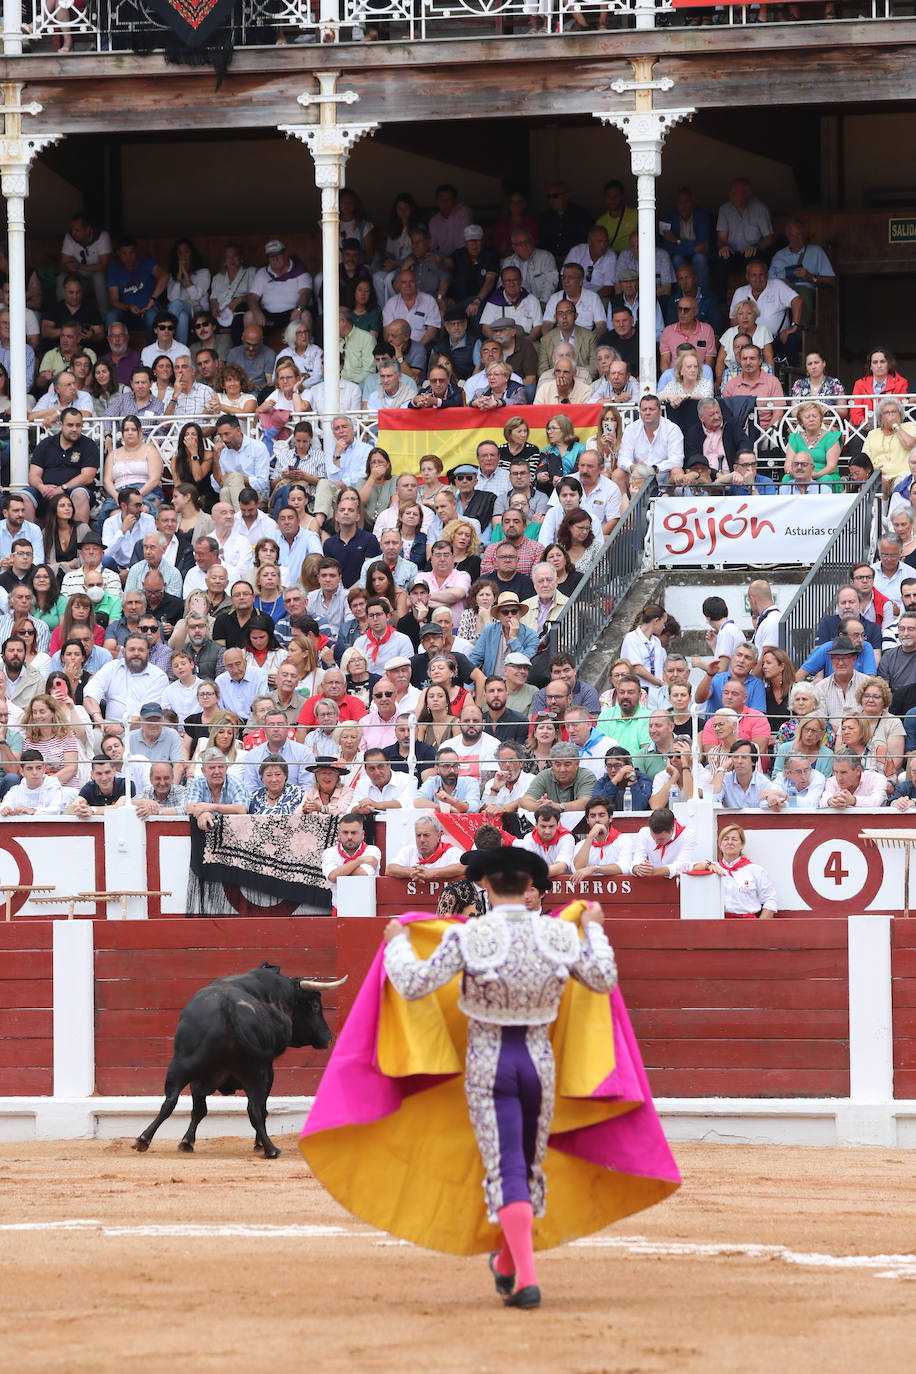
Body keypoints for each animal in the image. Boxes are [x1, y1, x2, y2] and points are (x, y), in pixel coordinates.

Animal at [129, 967, 343, 1159]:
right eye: (315, 1005)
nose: (328, 1038)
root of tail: (228, 1008)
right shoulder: (268, 1071)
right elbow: (260, 1109)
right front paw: (258, 1143)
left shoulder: (198, 1080)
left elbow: (198, 1110)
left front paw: (186, 1142)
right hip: (256, 1073)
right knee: (255, 1109)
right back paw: (271, 1149)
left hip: (180, 1065)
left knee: (170, 1101)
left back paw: (143, 1140)